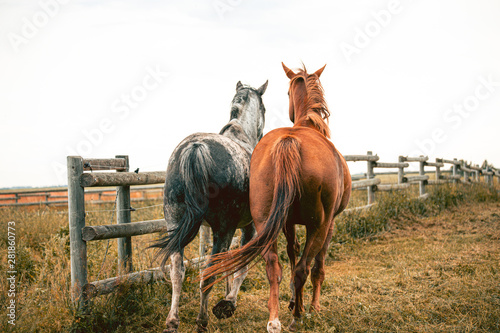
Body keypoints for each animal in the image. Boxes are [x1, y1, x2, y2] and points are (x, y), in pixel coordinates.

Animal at [151, 80, 270, 330]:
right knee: (207, 274)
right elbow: (241, 265)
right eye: (264, 108)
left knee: (178, 271)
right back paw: (202, 321)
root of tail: (195, 147)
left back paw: (172, 321)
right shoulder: (248, 226)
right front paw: (228, 303)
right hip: (223, 229)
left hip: (175, 223)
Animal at [203, 63, 352, 330]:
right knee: (305, 267)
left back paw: (274, 320)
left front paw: (292, 300)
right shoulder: (331, 223)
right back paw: (298, 316)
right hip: (320, 225)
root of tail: (289, 140)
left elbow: (291, 253)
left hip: (265, 222)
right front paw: (312, 307)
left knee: (274, 265)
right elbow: (317, 267)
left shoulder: (287, 222)